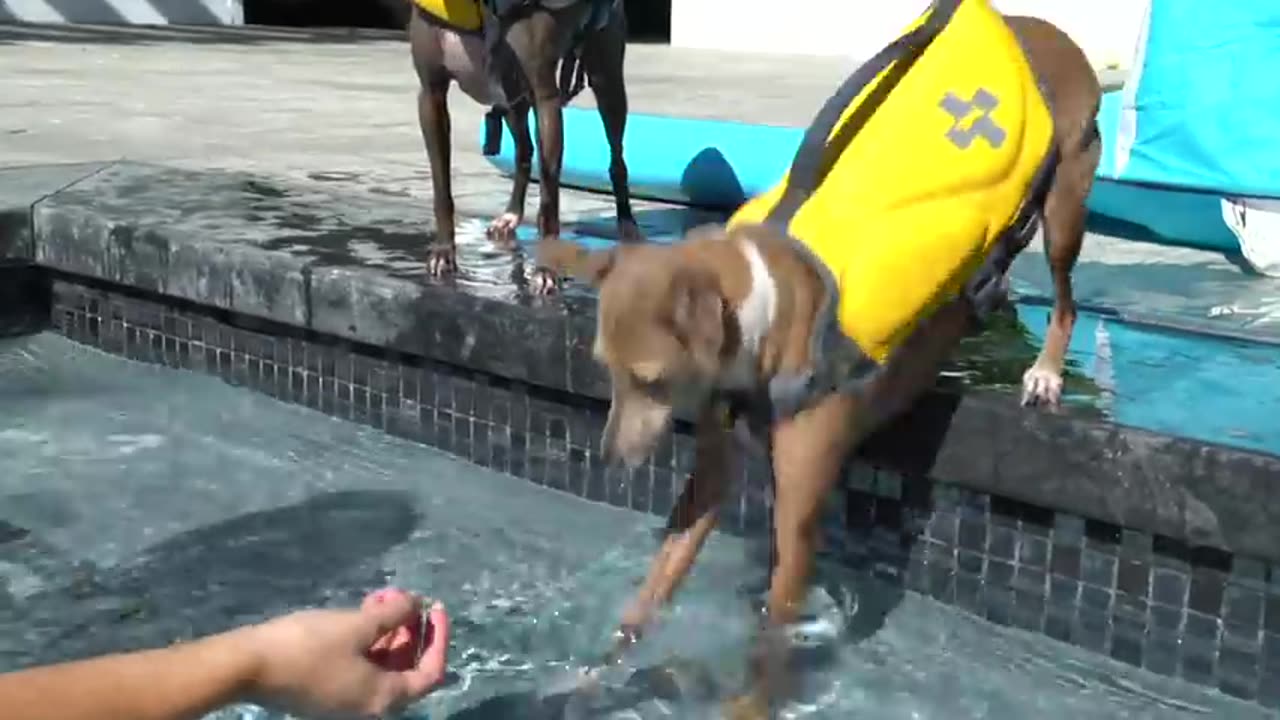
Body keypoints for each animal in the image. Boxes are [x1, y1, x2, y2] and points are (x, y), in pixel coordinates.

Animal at [409, 1, 645, 292]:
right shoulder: (431, 95)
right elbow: (442, 189)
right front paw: (443, 252)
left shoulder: (545, 98)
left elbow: (549, 196)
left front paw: (546, 269)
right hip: (512, 98)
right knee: (524, 151)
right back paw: (510, 215)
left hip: (606, 79)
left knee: (616, 156)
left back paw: (627, 224)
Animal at [537, 0, 1100, 712]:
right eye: (603, 370)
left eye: (651, 380)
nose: (608, 459)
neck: (763, 315)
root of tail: (1042, 29)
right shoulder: (710, 479)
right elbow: (648, 596)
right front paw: (593, 674)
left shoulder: (799, 519)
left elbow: (771, 639)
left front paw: (750, 705)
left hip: (1065, 205)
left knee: (1065, 299)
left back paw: (1046, 373)